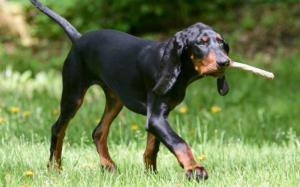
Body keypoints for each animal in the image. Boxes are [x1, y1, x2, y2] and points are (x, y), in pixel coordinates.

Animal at [31, 0, 231, 181]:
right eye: (201, 43)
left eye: (221, 43)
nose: (225, 62)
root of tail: (78, 38)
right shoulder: (156, 117)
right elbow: (179, 142)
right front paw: (195, 169)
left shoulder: (157, 117)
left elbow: (152, 147)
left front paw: (152, 175)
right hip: (73, 95)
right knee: (58, 128)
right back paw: (54, 168)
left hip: (115, 99)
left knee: (98, 132)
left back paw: (109, 166)